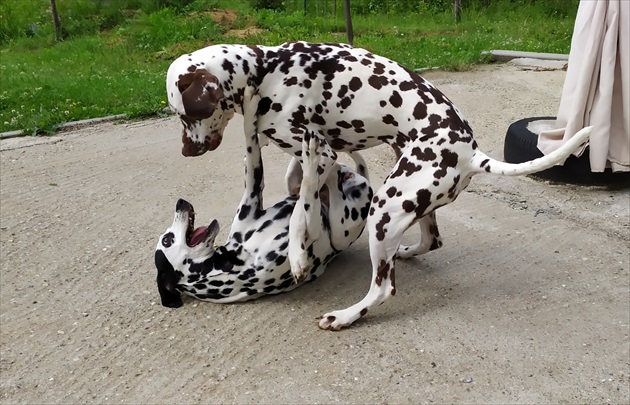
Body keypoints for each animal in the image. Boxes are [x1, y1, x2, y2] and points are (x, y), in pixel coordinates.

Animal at [156, 123, 376, 306]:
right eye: (167, 239)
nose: (180, 203)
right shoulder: (311, 231)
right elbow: (307, 194)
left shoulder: (252, 196)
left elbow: (252, 161)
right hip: (340, 227)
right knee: (321, 180)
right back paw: (319, 158)